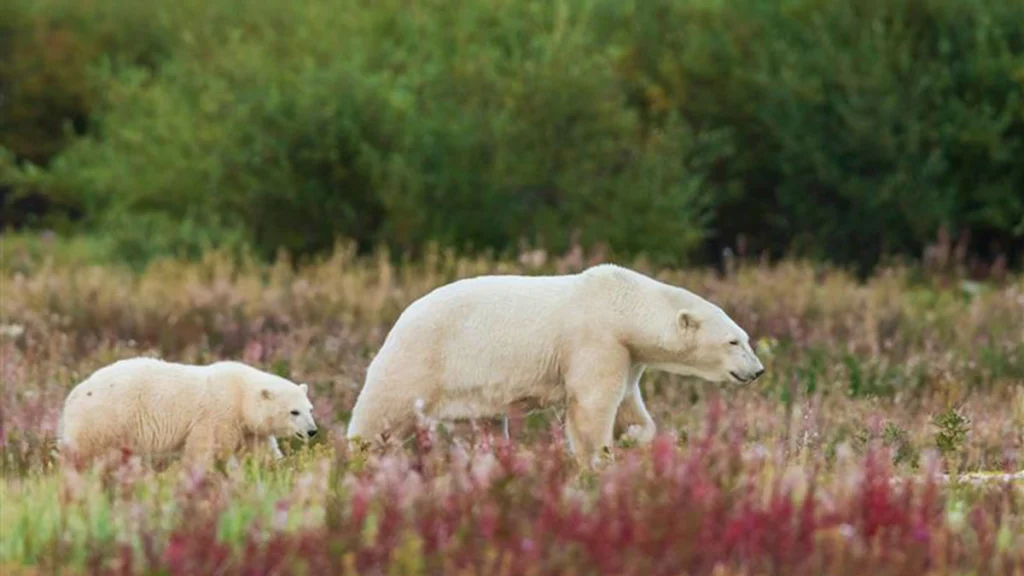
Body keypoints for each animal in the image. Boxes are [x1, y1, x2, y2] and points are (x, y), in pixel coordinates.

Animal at [57, 357, 319, 468]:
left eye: (310, 408)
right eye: (294, 412)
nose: (312, 431)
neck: (241, 394)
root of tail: (73, 395)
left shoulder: (248, 429)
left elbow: (262, 451)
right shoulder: (219, 414)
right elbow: (204, 448)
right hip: (105, 418)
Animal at [346, 263, 764, 468]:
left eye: (746, 337)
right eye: (733, 341)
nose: (758, 370)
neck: (622, 306)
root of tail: (399, 319)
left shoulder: (626, 354)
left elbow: (629, 405)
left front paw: (633, 436)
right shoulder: (595, 340)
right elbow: (592, 406)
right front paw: (597, 459)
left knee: (485, 430)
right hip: (422, 359)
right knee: (381, 414)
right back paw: (356, 459)